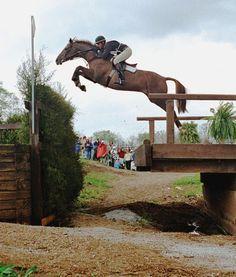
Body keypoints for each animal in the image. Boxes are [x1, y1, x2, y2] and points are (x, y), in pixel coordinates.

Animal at [55, 37, 186, 127]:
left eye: (66, 48)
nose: (57, 60)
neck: (95, 57)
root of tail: (163, 78)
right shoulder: (93, 77)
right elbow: (79, 69)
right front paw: (79, 84)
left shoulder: (95, 76)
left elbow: (78, 68)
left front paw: (79, 84)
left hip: (157, 98)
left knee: (172, 111)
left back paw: (181, 130)